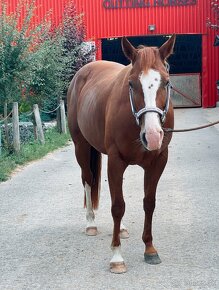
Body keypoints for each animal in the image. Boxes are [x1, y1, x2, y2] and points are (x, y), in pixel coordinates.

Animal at [67, 35, 175, 274]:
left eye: (166, 82)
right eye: (132, 83)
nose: (152, 136)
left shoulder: (158, 161)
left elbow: (148, 203)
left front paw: (150, 249)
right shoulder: (116, 160)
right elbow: (118, 206)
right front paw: (116, 257)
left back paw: (122, 228)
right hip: (81, 146)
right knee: (88, 180)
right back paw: (91, 223)